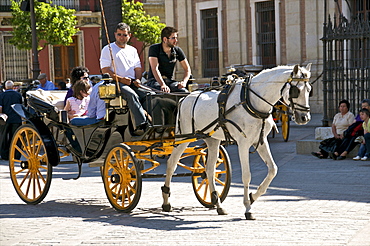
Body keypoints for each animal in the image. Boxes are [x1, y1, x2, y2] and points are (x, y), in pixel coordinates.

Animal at [162, 63, 312, 219]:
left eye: (309, 90)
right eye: (296, 91)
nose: (304, 118)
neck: (251, 101)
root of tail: (184, 98)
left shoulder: (261, 141)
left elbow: (273, 170)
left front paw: (252, 197)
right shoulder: (243, 144)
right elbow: (246, 175)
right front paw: (248, 208)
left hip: (212, 140)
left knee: (209, 170)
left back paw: (218, 204)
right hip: (182, 137)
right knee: (171, 164)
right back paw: (166, 201)